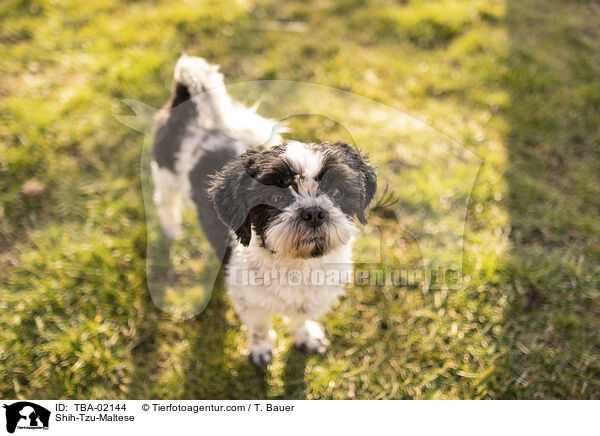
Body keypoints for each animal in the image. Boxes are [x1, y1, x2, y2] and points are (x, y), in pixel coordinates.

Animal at [152, 55, 378, 368]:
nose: (313, 212)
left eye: (336, 192)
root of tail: (185, 100)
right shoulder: (250, 301)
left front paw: (305, 336)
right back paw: (171, 229)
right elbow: (260, 328)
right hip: (166, 174)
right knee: (165, 201)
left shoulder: (312, 297)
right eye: (275, 197)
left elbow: (300, 319)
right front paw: (261, 352)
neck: (296, 267)